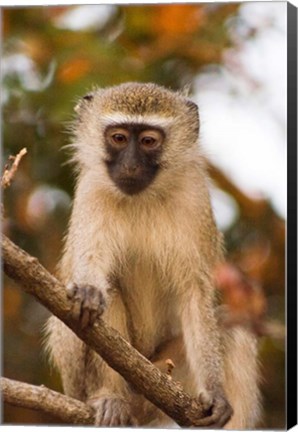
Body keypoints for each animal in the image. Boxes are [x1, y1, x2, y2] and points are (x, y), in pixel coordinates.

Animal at [46, 82, 260, 426]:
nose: (131, 166)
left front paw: (216, 393)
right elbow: (90, 264)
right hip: (80, 381)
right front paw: (89, 291)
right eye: (119, 138)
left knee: (232, 324)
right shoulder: (91, 190)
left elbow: (194, 293)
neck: (142, 198)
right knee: (109, 294)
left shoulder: (195, 196)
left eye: (148, 141)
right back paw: (112, 398)